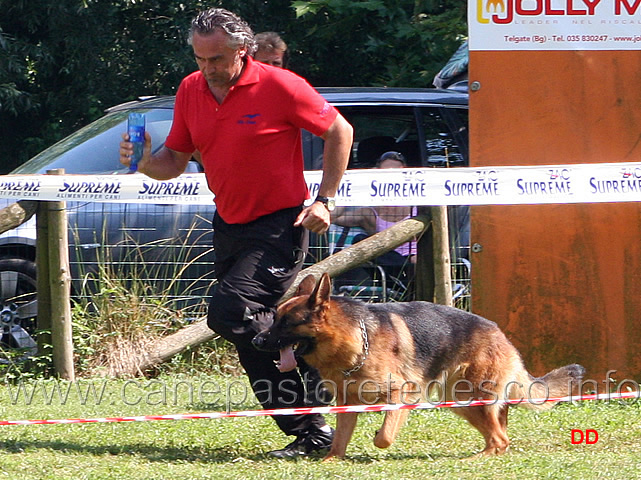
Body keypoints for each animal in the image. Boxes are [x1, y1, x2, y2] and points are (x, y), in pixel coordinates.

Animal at [252, 274, 584, 458]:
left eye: (286, 323)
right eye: (275, 318)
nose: (255, 340)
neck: (355, 340)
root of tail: (500, 333)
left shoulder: (403, 393)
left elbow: (385, 435)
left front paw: (379, 436)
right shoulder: (347, 403)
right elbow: (340, 439)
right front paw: (332, 461)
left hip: (473, 397)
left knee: (500, 438)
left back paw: (475, 460)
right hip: (461, 402)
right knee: (501, 435)